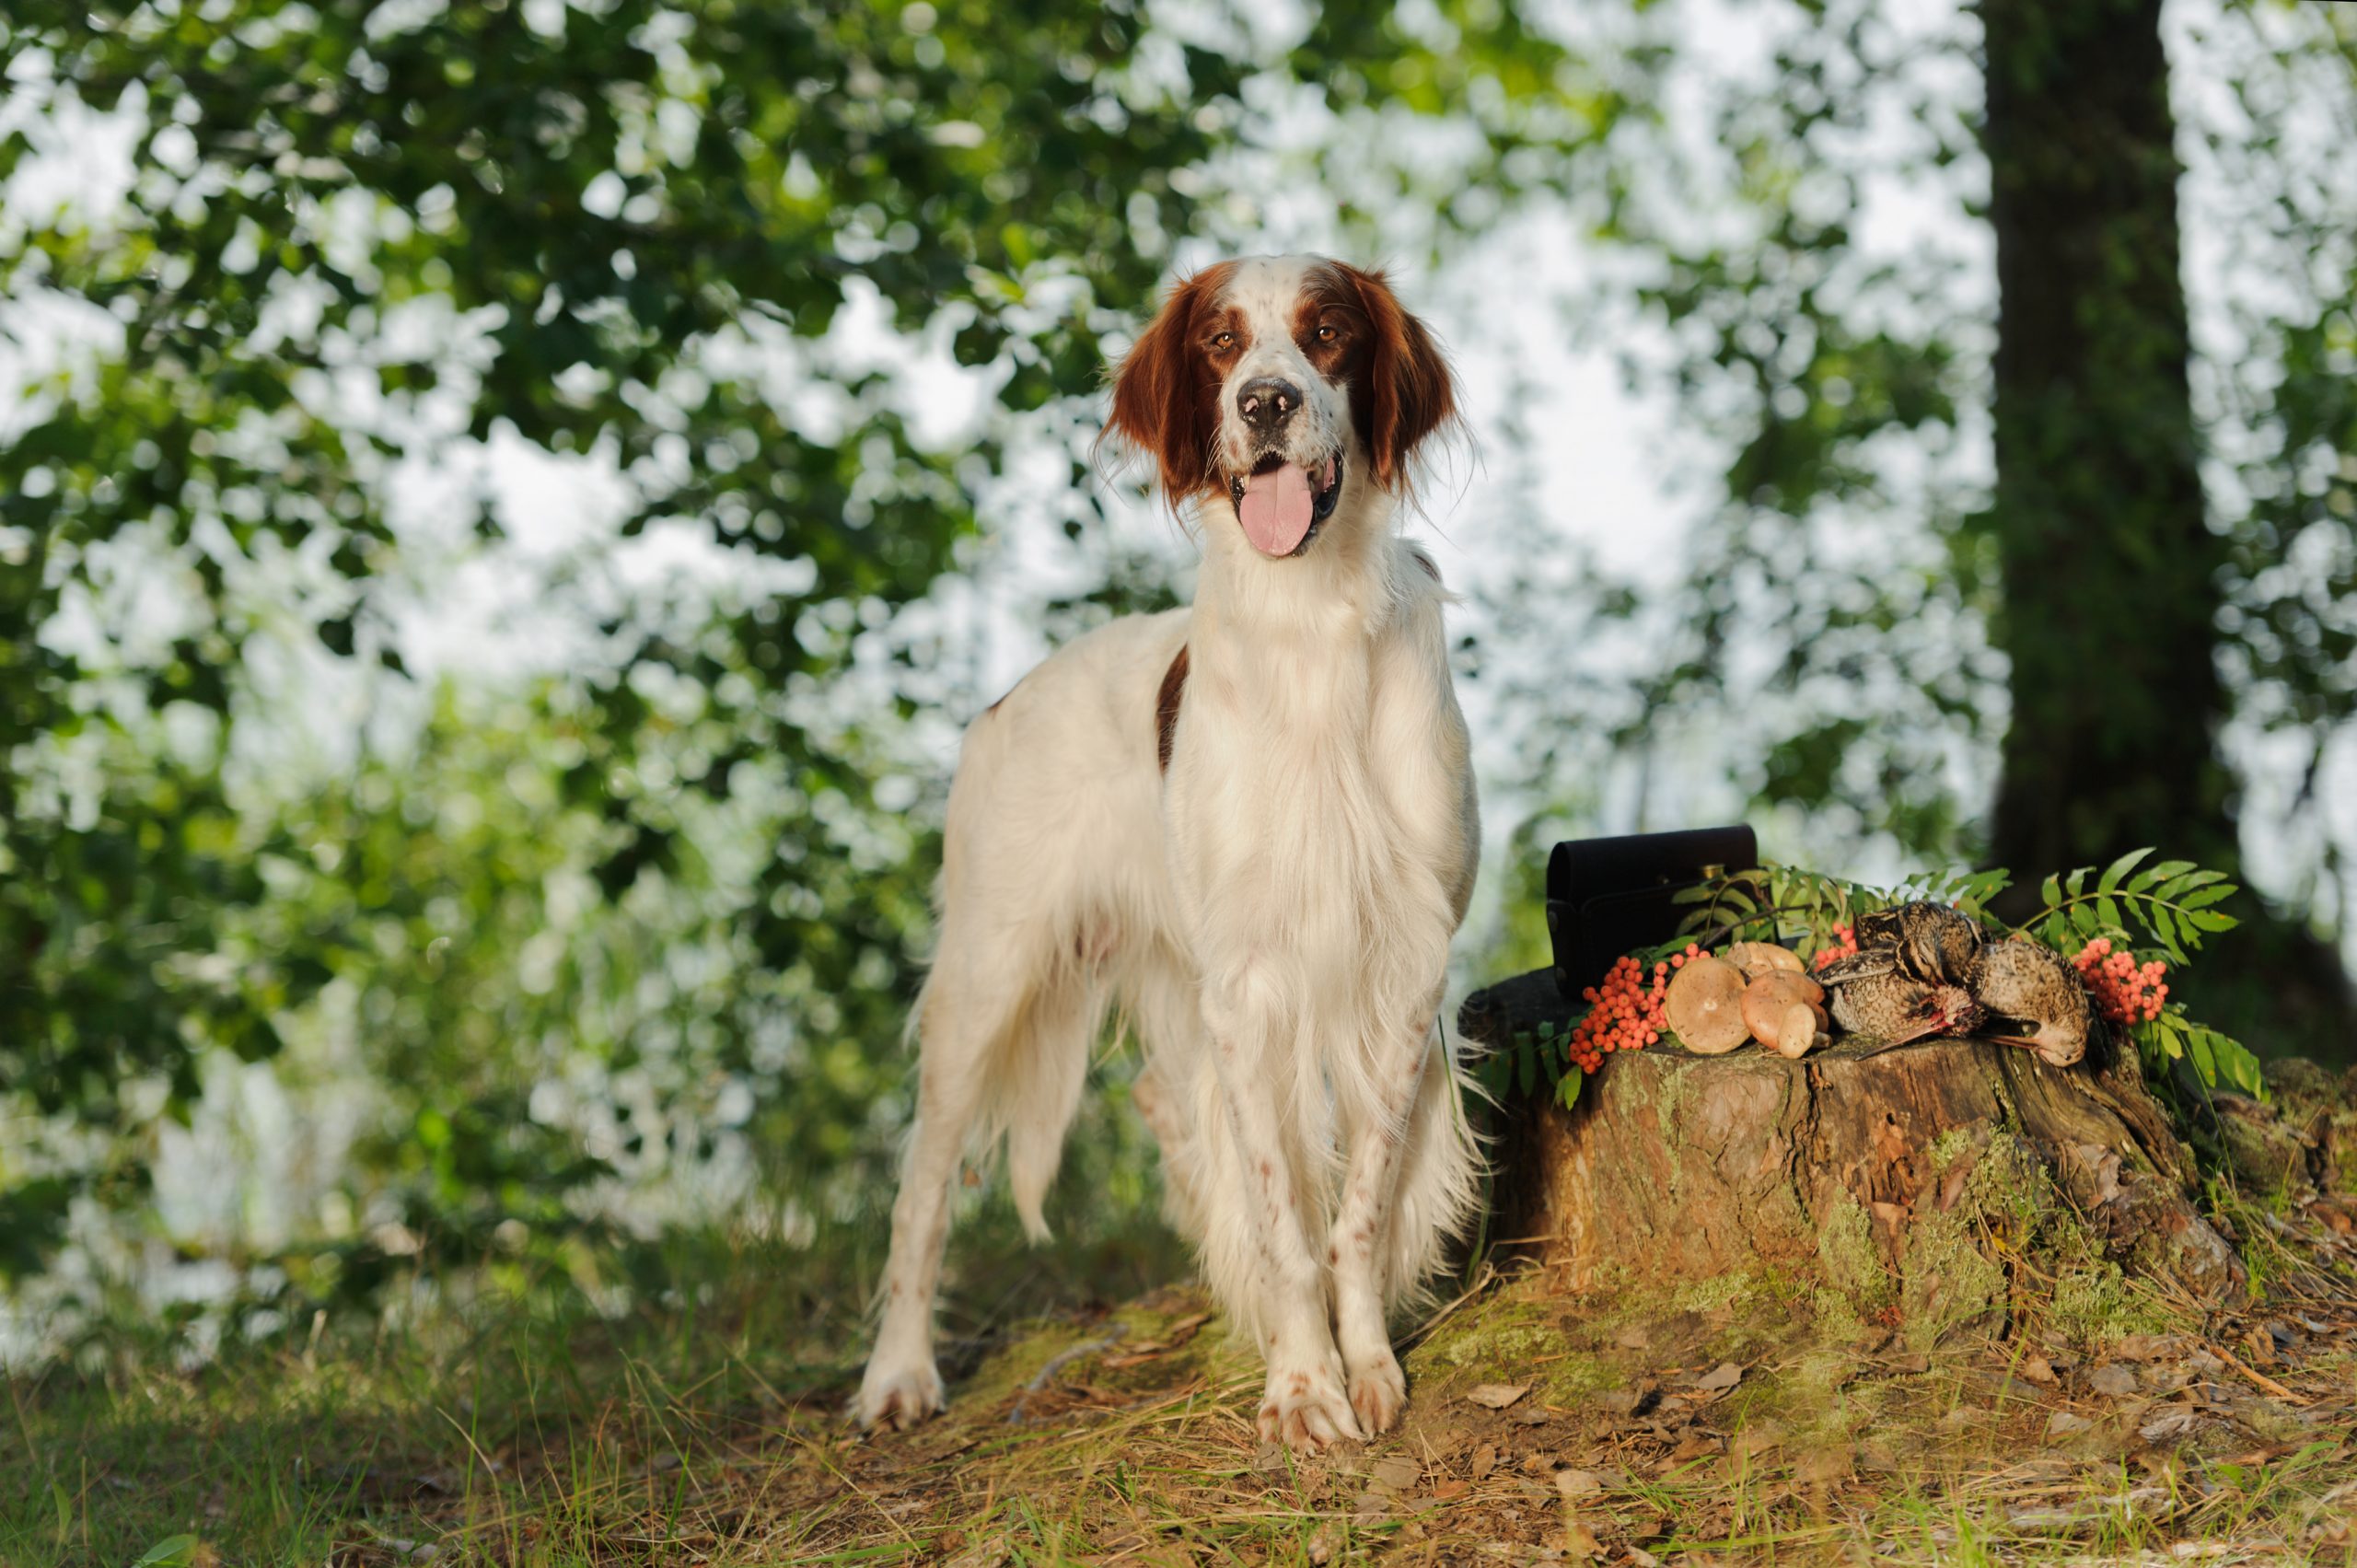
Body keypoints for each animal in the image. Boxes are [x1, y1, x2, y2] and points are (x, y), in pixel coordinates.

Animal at [853, 253, 1470, 1443]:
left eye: (1328, 331)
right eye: (1218, 343)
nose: (1265, 404)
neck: (1308, 626)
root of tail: (1001, 699)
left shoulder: (1404, 957)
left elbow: (1357, 1205)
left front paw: (1361, 1360)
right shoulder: (1247, 978)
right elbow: (1285, 1212)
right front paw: (1302, 1383)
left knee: (1162, 1104)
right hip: (988, 979)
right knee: (917, 1187)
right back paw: (895, 1373)